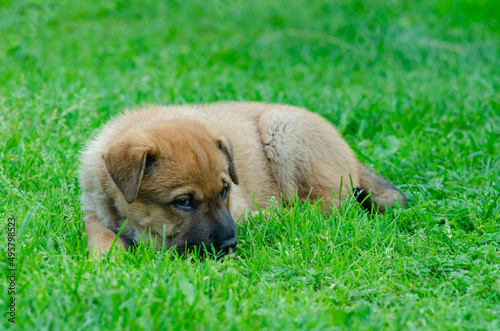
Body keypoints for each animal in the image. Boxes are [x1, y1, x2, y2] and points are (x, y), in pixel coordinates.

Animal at [79, 102, 406, 258]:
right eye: (183, 202)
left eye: (225, 191)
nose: (230, 245)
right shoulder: (94, 215)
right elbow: (102, 240)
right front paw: (109, 262)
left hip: (282, 129)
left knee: (328, 206)